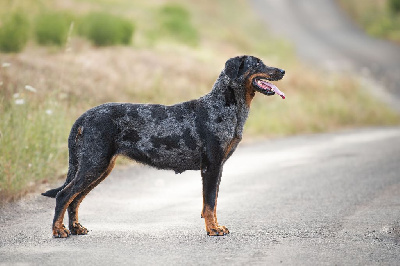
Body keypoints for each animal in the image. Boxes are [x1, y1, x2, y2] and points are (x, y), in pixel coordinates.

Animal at [42, 55, 286, 238]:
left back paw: (75, 228)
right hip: (94, 164)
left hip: (100, 167)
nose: (282, 70)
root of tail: (84, 117)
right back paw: (58, 231)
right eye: (257, 64)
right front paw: (213, 229)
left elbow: (213, 202)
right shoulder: (211, 166)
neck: (225, 106)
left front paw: (216, 226)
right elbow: (209, 203)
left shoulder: (218, 168)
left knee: (75, 199)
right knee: (64, 195)